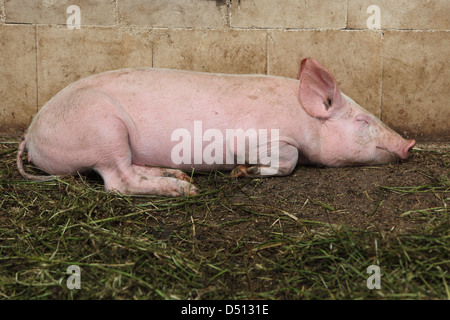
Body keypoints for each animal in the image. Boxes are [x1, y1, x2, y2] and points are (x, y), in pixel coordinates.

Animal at [17, 58, 418, 196]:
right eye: (363, 121)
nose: (410, 144)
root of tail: (30, 135)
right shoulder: (259, 137)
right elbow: (288, 159)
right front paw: (243, 172)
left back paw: (178, 177)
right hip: (103, 129)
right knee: (117, 182)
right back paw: (185, 191)